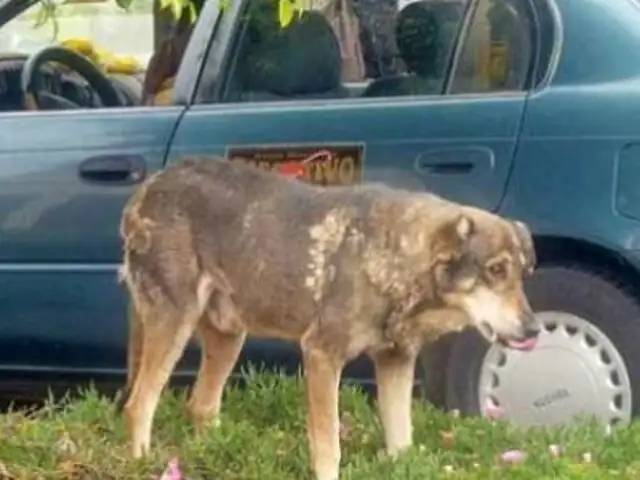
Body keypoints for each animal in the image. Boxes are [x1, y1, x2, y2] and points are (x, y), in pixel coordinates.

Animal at [117, 156, 536, 478]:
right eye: (495, 271)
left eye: (523, 274)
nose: (533, 328)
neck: (396, 260)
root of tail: (148, 186)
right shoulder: (321, 356)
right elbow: (328, 445)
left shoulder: (396, 362)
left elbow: (402, 443)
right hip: (175, 324)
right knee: (138, 405)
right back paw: (141, 463)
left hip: (228, 336)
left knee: (200, 406)